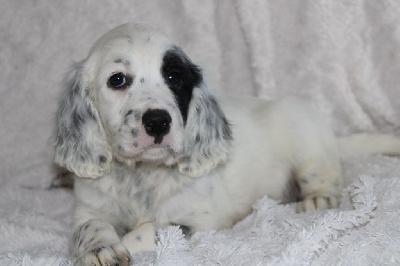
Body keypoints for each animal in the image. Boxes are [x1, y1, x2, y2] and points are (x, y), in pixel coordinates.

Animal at [53, 23, 400, 266]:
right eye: (118, 80)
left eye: (174, 78)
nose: (158, 122)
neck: (141, 174)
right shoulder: (88, 207)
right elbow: (89, 226)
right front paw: (100, 248)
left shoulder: (196, 221)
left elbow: (148, 230)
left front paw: (123, 241)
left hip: (306, 139)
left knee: (326, 174)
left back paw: (318, 198)